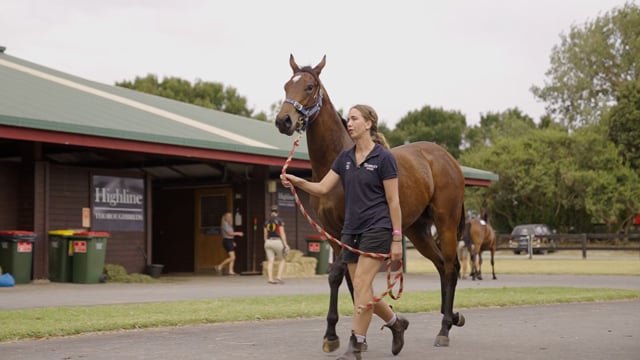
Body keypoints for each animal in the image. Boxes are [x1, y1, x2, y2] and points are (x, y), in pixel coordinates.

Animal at [274, 54, 464, 350]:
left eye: (309, 86)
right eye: (286, 85)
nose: (284, 120)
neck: (336, 161)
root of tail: (447, 159)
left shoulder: (346, 230)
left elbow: (340, 276)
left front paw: (335, 335)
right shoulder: (332, 234)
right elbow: (348, 280)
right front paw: (354, 331)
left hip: (446, 223)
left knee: (451, 267)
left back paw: (444, 328)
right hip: (417, 231)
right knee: (441, 266)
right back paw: (451, 317)